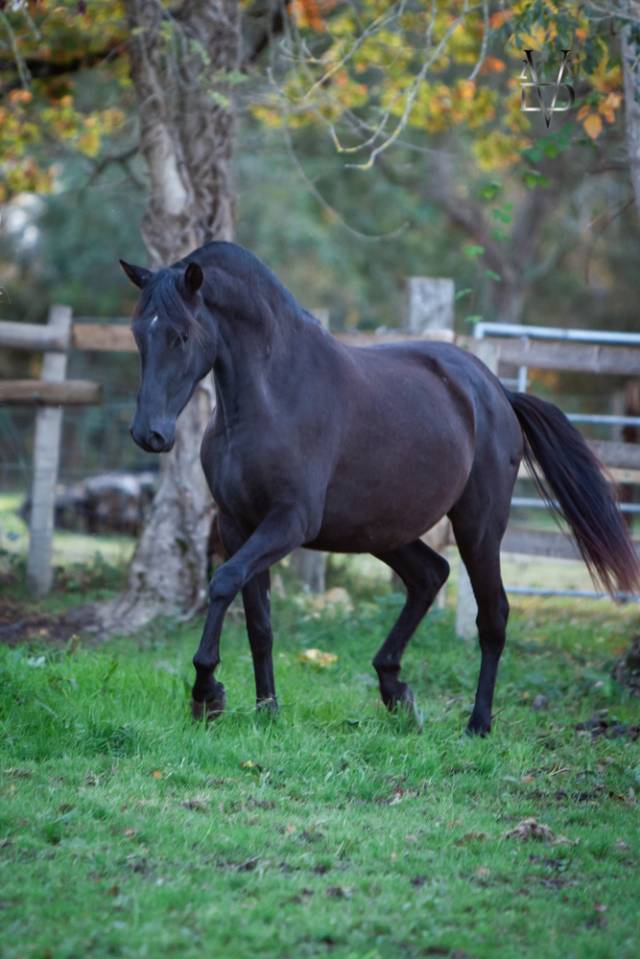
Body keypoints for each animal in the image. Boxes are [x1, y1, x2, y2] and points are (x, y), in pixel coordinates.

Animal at [119, 242, 640, 734]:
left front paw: (206, 692)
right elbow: (259, 623)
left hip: (479, 525)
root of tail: (496, 393)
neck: (271, 396)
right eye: (138, 333)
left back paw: (477, 722)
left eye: (182, 335)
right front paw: (266, 710)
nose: (149, 434)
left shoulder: (288, 522)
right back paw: (395, 689)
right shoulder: (237, 524)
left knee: (492, 615)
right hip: (381, 531)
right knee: (430, 575)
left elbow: (223, 581)